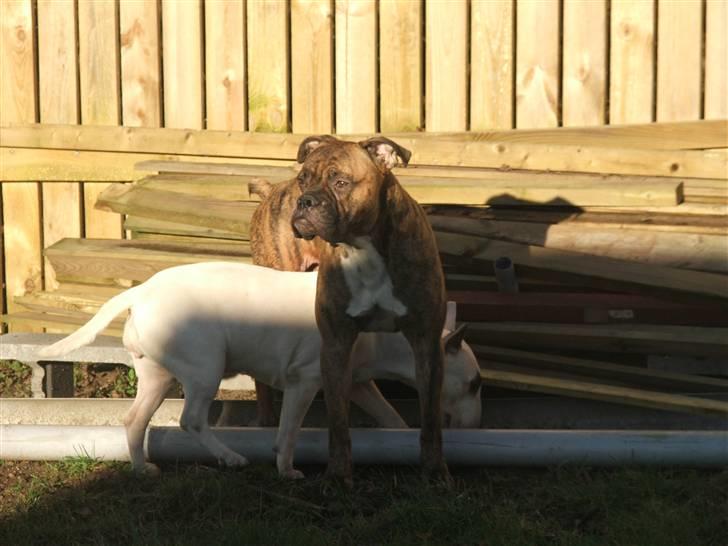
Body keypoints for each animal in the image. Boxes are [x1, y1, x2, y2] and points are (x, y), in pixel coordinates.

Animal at [41, 262, 484, 478]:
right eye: (476, 384)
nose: (476, 427)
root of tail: (140, 290)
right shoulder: (305, 382)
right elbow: (288, 432)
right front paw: (286, 471)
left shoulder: (359, 385)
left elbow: (391, 417)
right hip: (206, 368)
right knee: (192, 420)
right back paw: (231, 458)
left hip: (157, 377)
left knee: (135, 420)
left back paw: (141, 468)